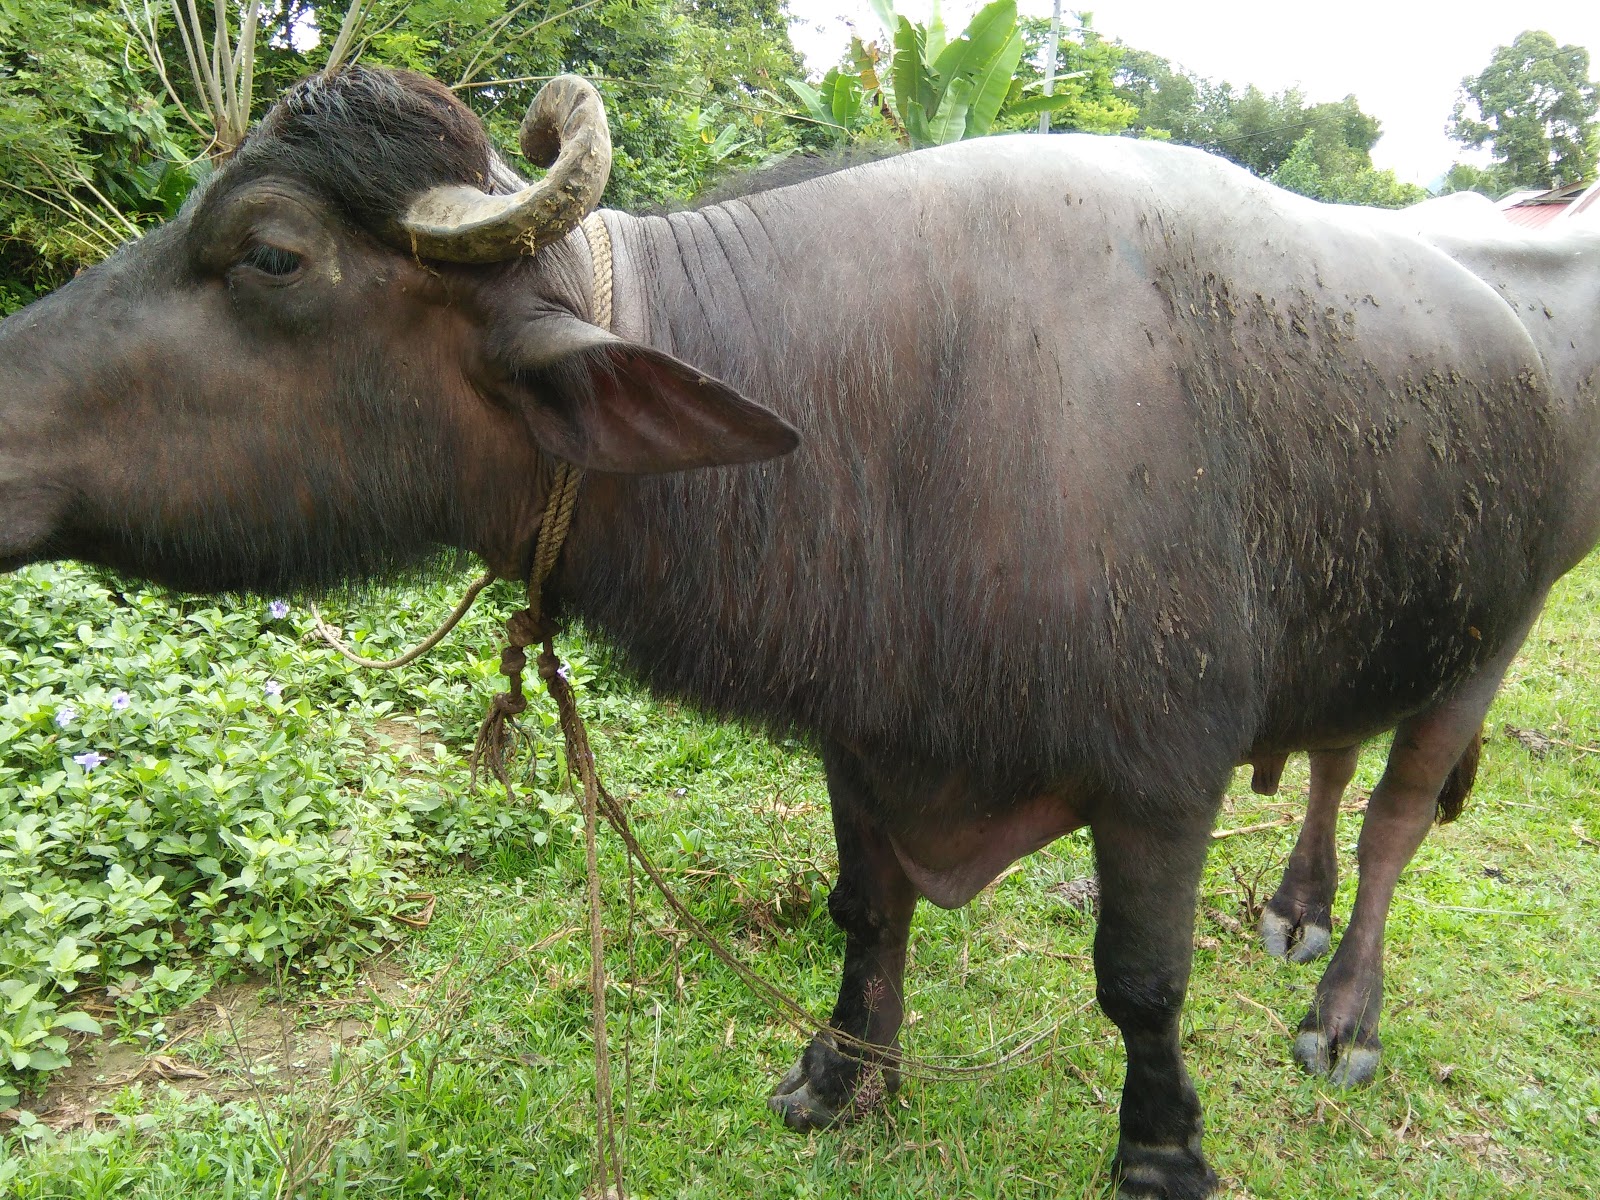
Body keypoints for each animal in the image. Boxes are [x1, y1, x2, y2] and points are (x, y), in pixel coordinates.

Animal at [3, 70, 1600, 1196]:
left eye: (269, 257)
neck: (882, 421)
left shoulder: (1160, 775)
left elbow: (1140, 984)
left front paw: (1162, 1154)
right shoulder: (864, 730)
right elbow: (865, 908)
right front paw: (842, 1075)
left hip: (1490, 640)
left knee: (1398, 817)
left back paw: (1342, 1010)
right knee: (1330, 759)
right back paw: (1293, 903)